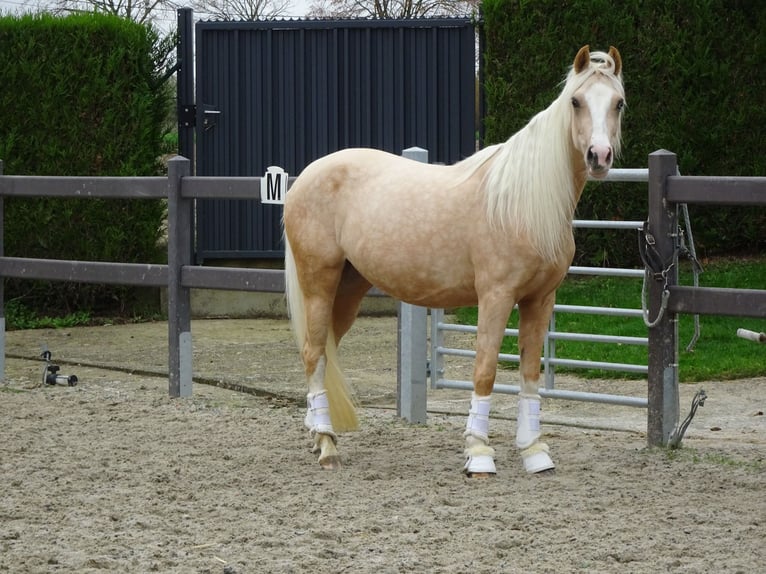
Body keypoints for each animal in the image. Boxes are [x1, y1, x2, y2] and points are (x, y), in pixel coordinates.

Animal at [284, 44, 628, 476]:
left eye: (618, 103)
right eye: (576, 101)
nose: (599, 156)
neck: (521, 203)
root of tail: (306, 177)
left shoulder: (540, 299)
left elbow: (530, 373)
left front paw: (534, 451)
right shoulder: (496, 297)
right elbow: (485, 371)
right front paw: (479, 452)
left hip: (349, 289)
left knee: (323, 352)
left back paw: (318, 433)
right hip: (319, 283)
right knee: (313, 354)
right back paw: (328, 445)